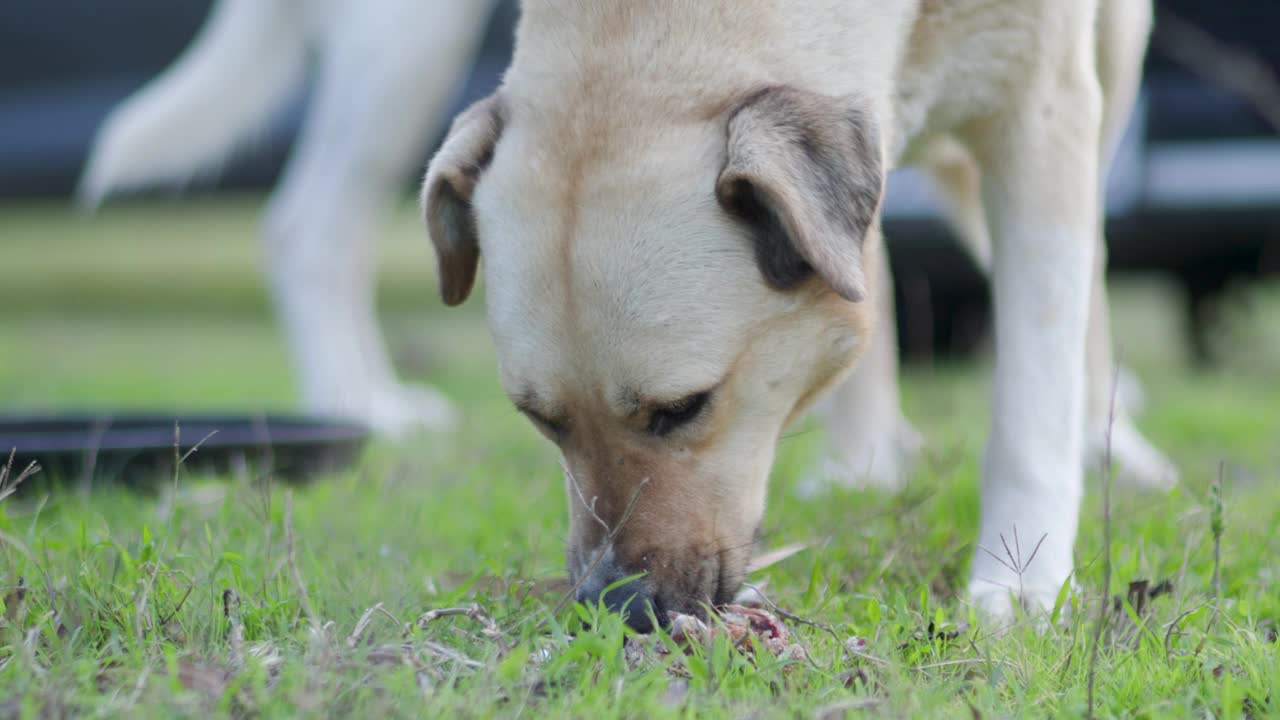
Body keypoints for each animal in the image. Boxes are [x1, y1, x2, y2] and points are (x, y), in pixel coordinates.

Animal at [424, 0, 1172, 622]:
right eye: (541, 420)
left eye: (684, 407)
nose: (617, 606)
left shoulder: (1044, 105)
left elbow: (1033, 394)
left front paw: (1021, 576)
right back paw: (862, 463)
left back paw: (1108, 442)